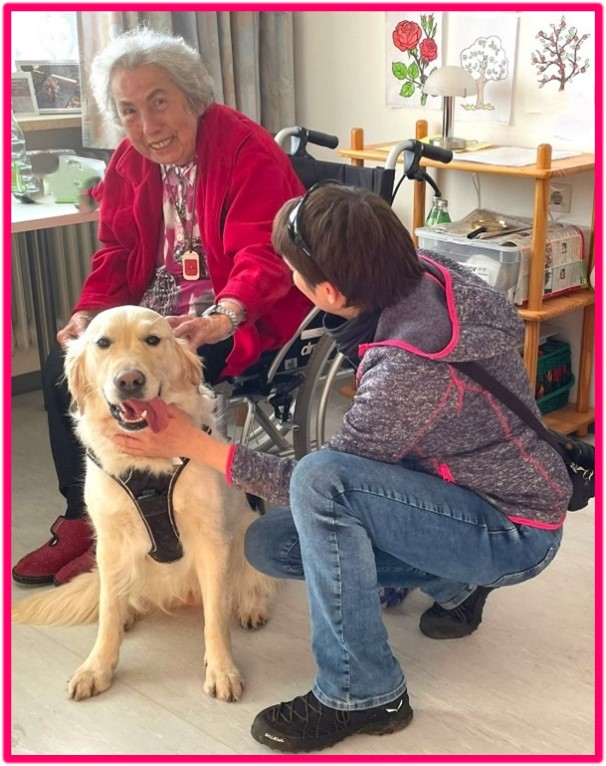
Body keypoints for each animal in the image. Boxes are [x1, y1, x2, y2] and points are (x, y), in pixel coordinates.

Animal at [12, 306, 276, 703]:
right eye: (102, 343)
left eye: (153, 339)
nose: (130, 380)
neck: (149, 465)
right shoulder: (109, 540)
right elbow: (107, 613)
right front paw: (96, 667)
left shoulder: (211, 539)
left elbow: (216, 617)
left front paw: (222, 669)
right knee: (118, 596)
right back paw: (126, 614)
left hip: (246, 529)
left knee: (248, 583)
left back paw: (251, 606)